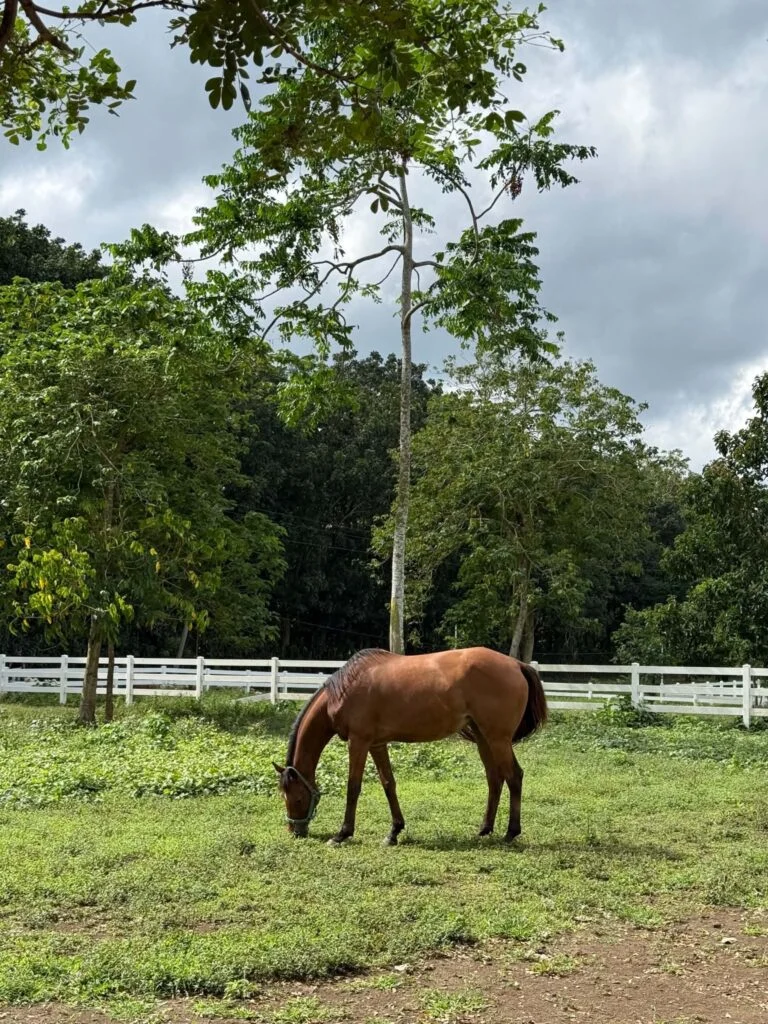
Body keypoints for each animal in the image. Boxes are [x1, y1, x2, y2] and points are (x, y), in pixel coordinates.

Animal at [272, 646, 547, 846]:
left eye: (296, 797)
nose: (294, 830)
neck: (345, 690)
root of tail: (516, 664)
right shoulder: (377, 744)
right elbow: (388, 784)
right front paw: (394, 832)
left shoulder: (358, 742)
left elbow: (353, 787)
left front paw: (342, 834)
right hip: (483, 737)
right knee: (494, 778)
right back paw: (485, 829)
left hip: (498, 738)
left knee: (514, 776)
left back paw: (511, 833)